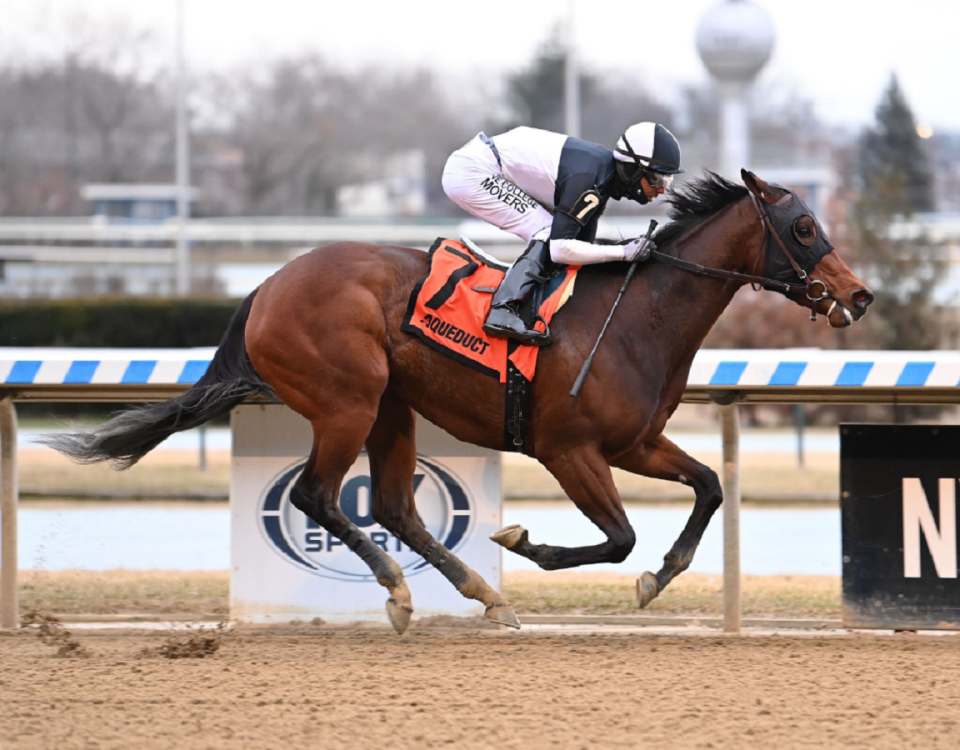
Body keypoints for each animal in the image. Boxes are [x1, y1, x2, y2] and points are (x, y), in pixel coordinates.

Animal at [47, 170, 872, 636]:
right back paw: (401, 591)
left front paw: (660, 576)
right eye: (804, 226)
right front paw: (524, 542)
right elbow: (617, 538)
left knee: (391, 503)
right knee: (319, 496)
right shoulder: (568, 450)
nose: (861, 295)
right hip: (347, 402)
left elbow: (706, 487)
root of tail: (267, 285)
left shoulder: (634, 444)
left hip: (390, 407)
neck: (639, 314)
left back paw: (478, 595)